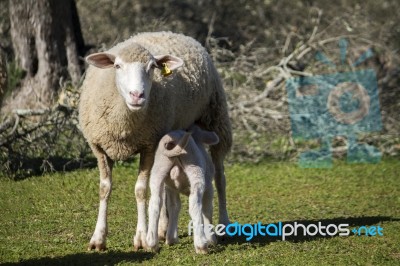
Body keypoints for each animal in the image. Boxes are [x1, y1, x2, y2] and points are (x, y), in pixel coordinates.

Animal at [146, 125, 217, 255]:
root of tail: (173, 139)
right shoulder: (209, 187)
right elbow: (207, 210)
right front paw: (211, 239)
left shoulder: (171, 188)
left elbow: (174, 206)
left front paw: (171, 238)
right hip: (195, 168)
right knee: (195, 206)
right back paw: (201, 245)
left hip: (158, 169)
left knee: (154, 204)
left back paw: (151, 244)